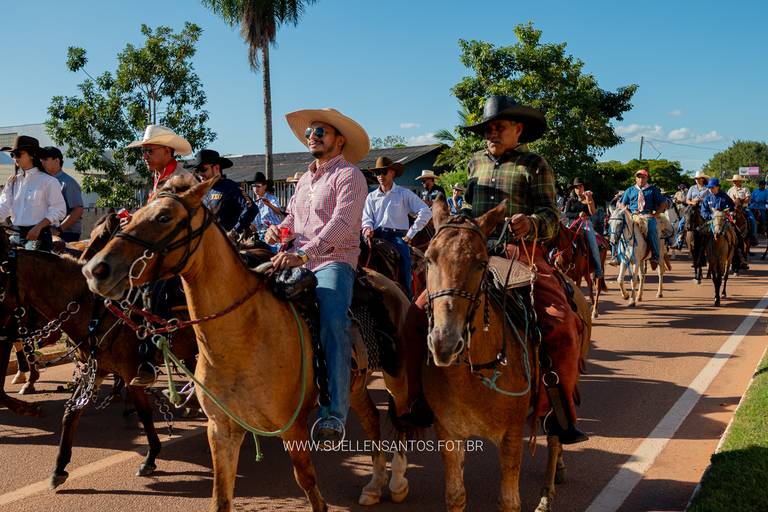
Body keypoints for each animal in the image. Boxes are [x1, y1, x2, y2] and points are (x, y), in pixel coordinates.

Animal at [0, 227, 199, 486]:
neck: (95, 308)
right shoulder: (96, 368)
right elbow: (71, 413)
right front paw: (59, 467)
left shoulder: (131, 371)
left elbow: (145, 414)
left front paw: (150, 457)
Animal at [82, 175, 412, 511]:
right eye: (134, 214)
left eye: (164, 217)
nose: (95, 269)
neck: (245, 336)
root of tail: (387, 283)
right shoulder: (222, 430)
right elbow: (221, 497)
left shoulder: (292, 428)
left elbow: (309, 485)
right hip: (354, 386)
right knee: (372, 419)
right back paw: (374, 485)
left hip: (398, 379)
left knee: (401, 422)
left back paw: (397, 483)